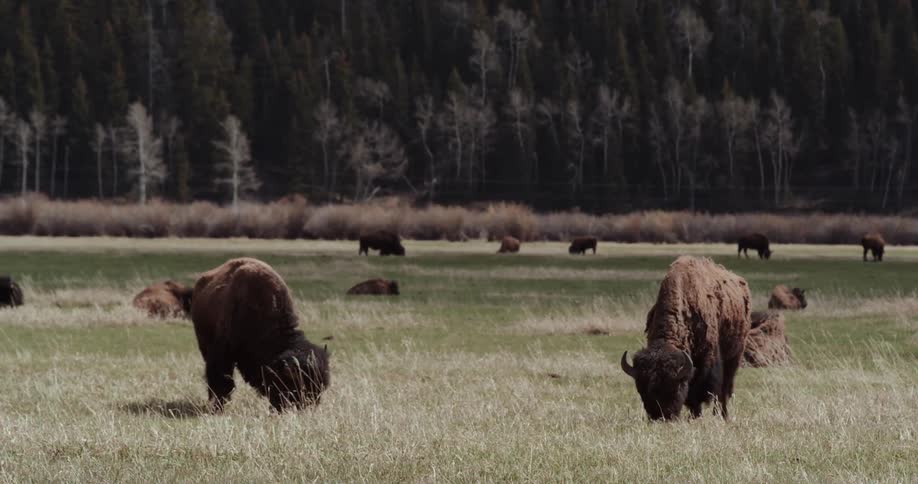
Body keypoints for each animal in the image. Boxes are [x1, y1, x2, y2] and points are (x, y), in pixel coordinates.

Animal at [191, 258, 330, 412]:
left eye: (321, 386)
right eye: (296, 386)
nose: (309, 408)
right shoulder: (222, 352)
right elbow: (222, 380)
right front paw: (219, 406)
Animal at [621, 256, 751, 420]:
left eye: (673, 388)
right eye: (641, 390)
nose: (660, 417)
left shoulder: (706, 363)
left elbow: (701, 391)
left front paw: (696, 416)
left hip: (733, 358)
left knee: (724, 390)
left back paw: (722, 415)